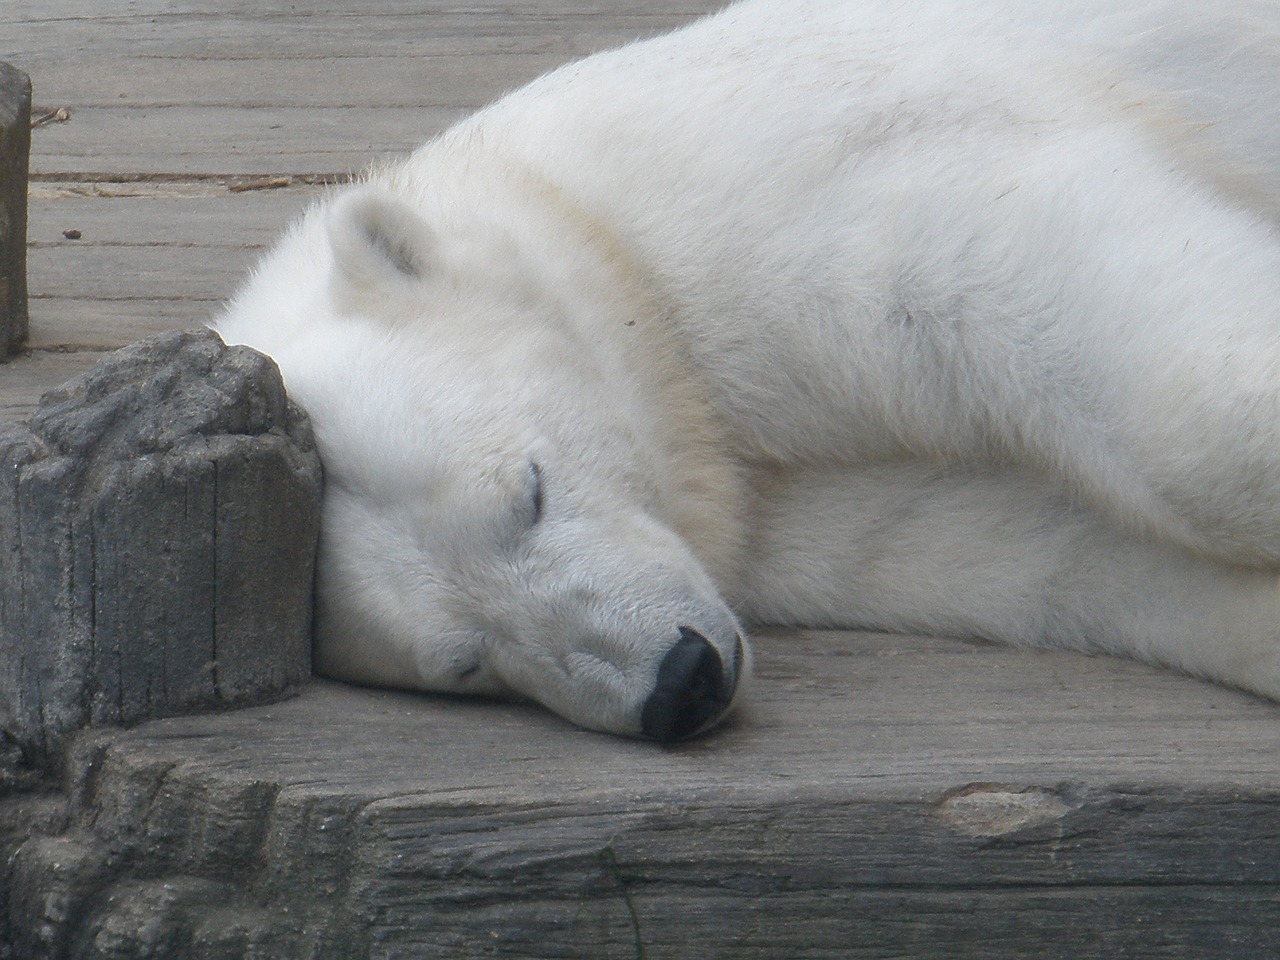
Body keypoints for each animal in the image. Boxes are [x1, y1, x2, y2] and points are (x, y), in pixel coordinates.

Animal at [215, 0, 1280, 742]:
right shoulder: (774, 498)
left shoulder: (809, 185)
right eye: (467, 664)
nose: (679, 686)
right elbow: (1017, 541)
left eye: (529, 490)